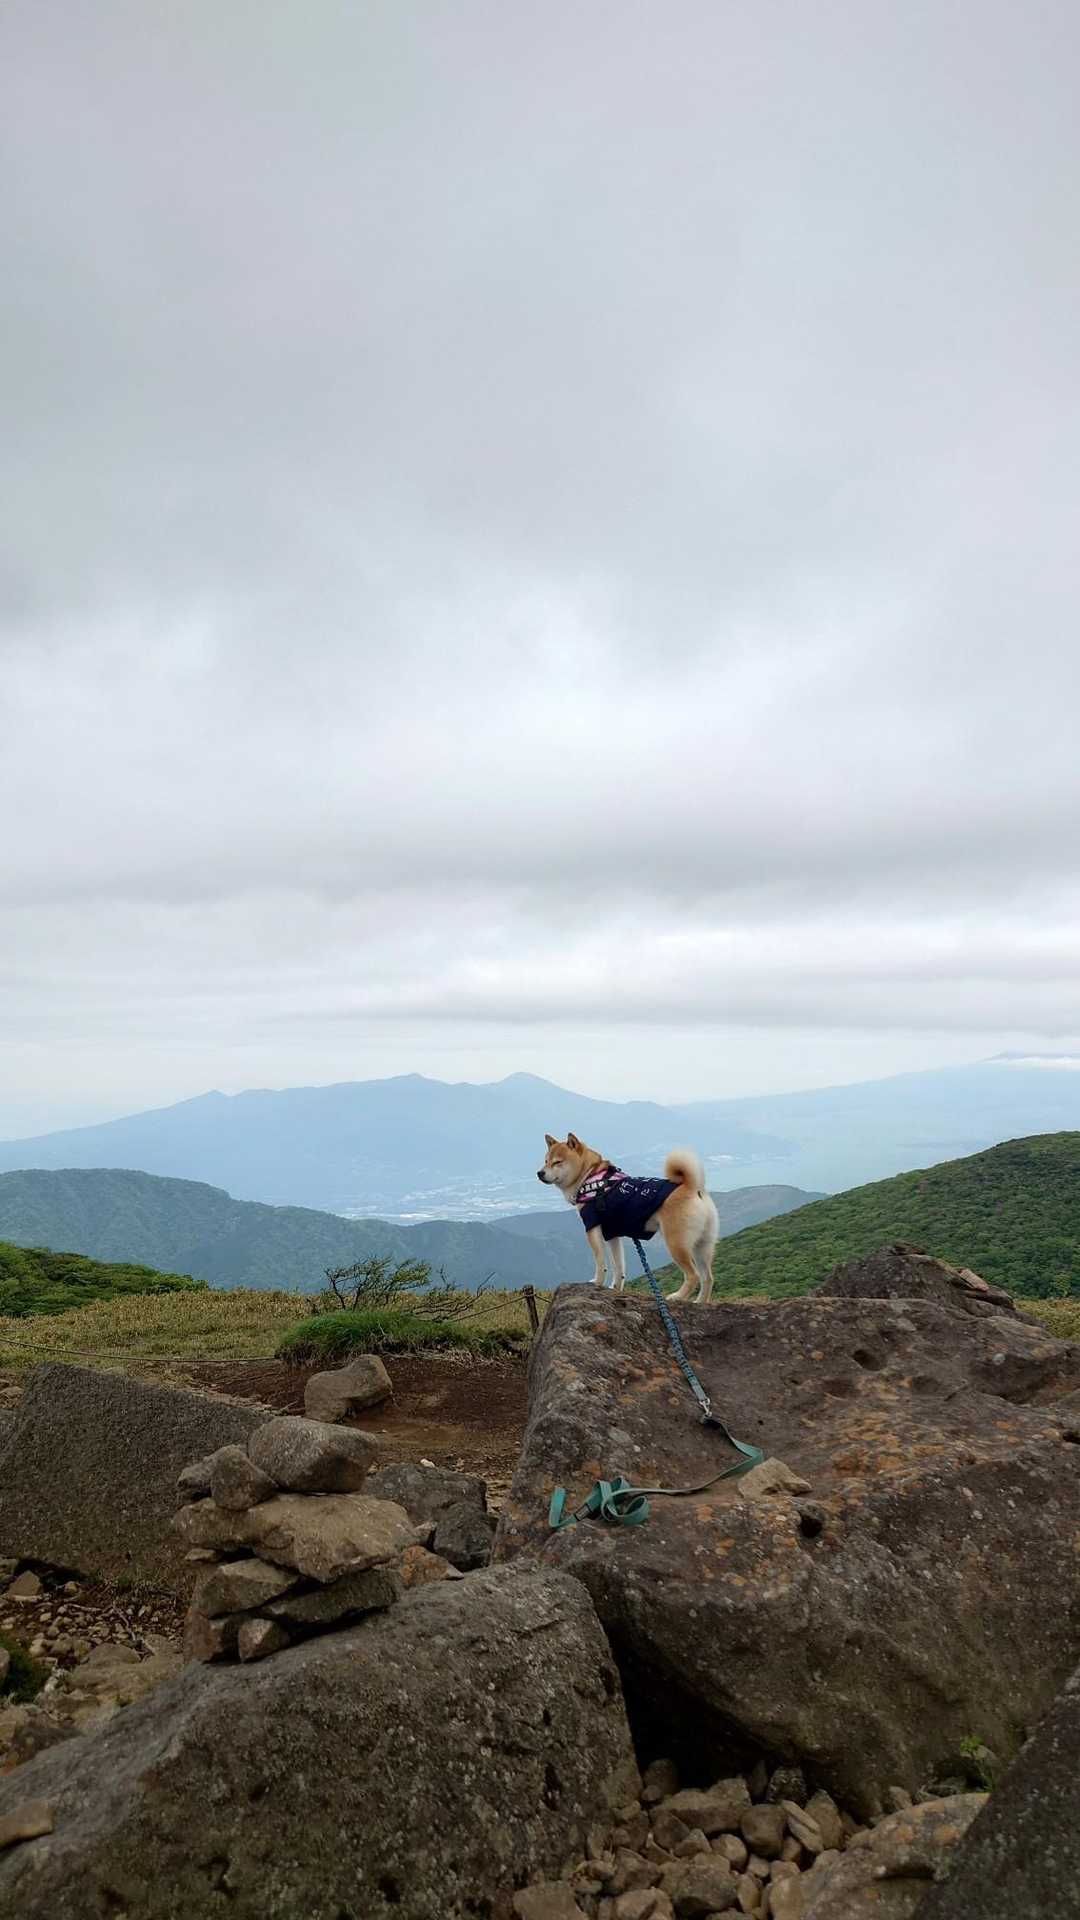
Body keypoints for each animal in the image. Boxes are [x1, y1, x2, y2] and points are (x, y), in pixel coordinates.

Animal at [537, 1132, 718, 1303]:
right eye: (545, 1161)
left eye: (557, 1162)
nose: (539, 1173)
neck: (590, 1176)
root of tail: (692, 1188)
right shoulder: (612, 1233)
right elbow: (619, 1267)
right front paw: (615, 1288)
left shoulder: (592, 1227)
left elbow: (601, 1262)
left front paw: (597, 1283)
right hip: (701, 1246)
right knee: (708, 1278)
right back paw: (700, 1302)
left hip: (676, 1243)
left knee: (693, 1275)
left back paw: (678, 1296)